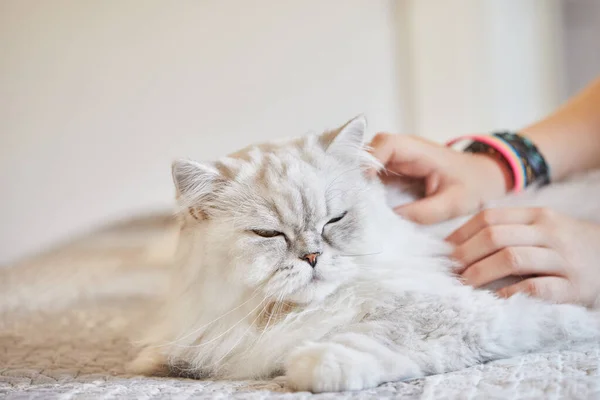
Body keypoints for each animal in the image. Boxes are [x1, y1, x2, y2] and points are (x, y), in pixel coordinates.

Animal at [130, 115, 600, 390]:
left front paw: (309, 365)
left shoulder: (460, 312)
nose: (312, 257)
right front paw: (152, 358)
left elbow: (374, 339)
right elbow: (181, 353)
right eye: (269, 234)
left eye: (333, 221)